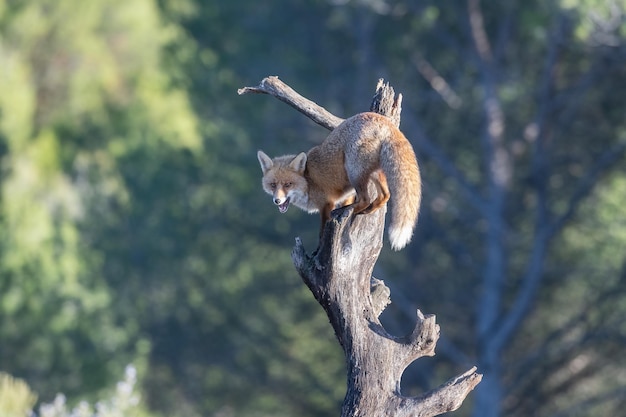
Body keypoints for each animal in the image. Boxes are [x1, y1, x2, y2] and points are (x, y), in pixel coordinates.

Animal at [256, 110, 422, 250]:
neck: (309, 181)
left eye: (288, 184)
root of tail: (383, 120)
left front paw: (317, 251)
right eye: (272, 185)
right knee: (384, 195)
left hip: (354, 170)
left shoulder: (326, 204)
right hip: (374, 173)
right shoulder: (345, 196)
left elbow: (322, 232)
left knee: (365, 199)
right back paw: (364, 211)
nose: (277, 200)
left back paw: (349, 210)